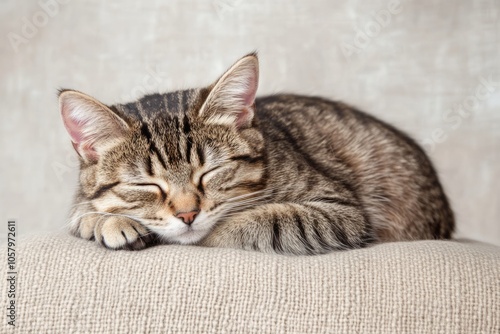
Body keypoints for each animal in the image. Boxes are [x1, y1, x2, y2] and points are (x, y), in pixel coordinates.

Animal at [60, 53, 456, 254]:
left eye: (210, 172)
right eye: (146, 185)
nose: (188, 214)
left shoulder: (342, 211)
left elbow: (250, 222)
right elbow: (82, 211)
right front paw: (105, 221)